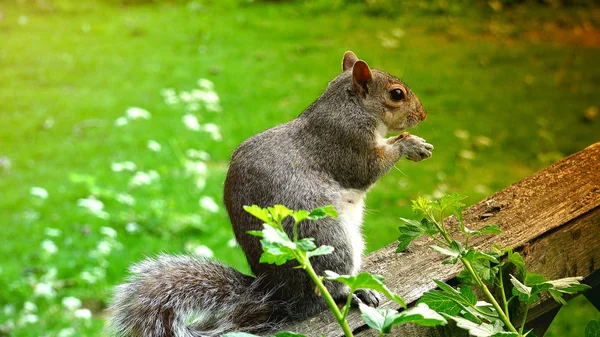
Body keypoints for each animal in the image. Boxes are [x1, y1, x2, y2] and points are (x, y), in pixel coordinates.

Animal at [106, 51, 432, 336]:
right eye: (397, 94)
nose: (423, 114)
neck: (348, 105)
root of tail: (284, 297)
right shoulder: (345, 144)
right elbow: (367, 169)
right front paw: (410, 144)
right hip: (328, 240)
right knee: (330, 289)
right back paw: (355, 290)